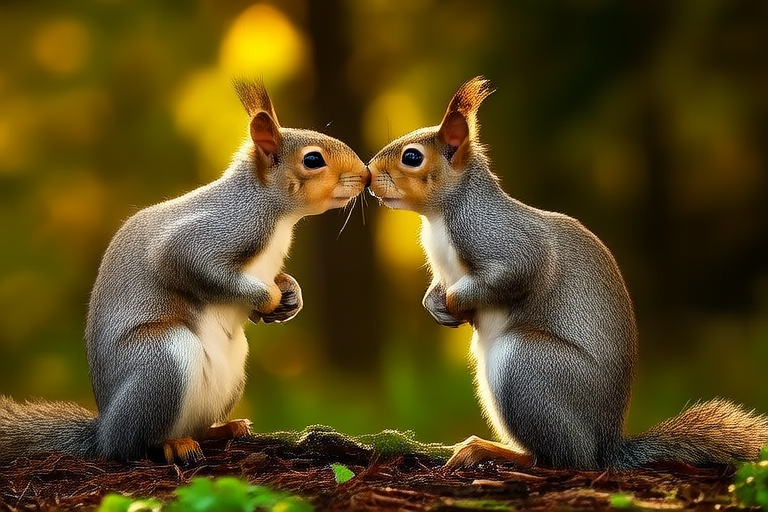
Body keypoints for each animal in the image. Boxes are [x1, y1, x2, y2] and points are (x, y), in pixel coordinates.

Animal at [0, 79, 370, 464]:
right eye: (313, 160)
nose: (365, 175)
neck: (277, 215)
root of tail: (103, 433)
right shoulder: (210, 233)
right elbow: (193, 265)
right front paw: (269, 299)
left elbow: (276, 285)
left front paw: (290, 297)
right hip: (161, 361)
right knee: (133, 445)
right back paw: (170, 444)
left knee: (198, 427)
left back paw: (224, 428)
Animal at [367, 76, 768, 470]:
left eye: (412, 157)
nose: (368, 175)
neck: (439, 216)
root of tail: (606, 446)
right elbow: (438, 287)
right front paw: (435, 305)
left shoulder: (504, 240)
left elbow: (511, 275)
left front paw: (454, 303)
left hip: (527, 366)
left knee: (561, 458)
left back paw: (489, 450)